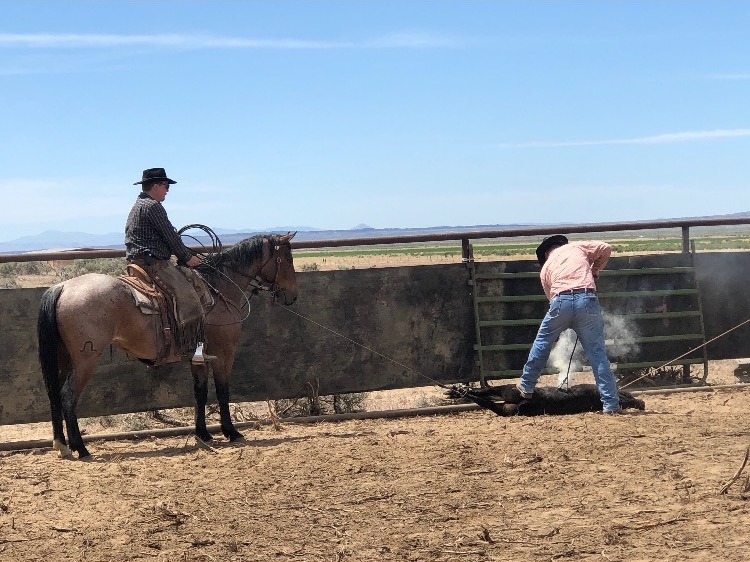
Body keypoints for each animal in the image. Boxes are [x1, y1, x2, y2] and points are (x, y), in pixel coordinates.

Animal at [37, 231, 296, 456]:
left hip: (64, 358)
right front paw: (231, 432)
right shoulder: (223, 352)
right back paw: (81, 449)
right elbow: (223, 391)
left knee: (54, 395)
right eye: (287, 258)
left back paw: (62, 445)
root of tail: (62, 287)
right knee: (68, 396)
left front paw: (203, 434)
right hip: (85, 360)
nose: (291, 296)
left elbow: (200, 392)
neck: (219, 290)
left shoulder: (199, 357)